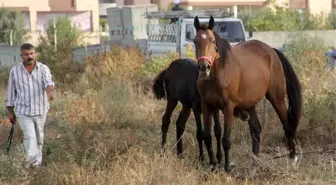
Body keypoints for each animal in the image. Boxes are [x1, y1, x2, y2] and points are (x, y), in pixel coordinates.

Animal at [193, 15, 304, 172]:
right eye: (195, 41)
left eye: (212, 41)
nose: (204, 67)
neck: (218, 73)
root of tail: (272, 51)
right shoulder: (207, 105)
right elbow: (207, 136)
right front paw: (213, 165)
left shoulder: (228, 107)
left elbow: (226, 140)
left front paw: (227, 168)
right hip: (250, 104)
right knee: (256, 129)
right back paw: (255, 161)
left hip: (277, 98)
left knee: (287, 126)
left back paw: (292, 158)